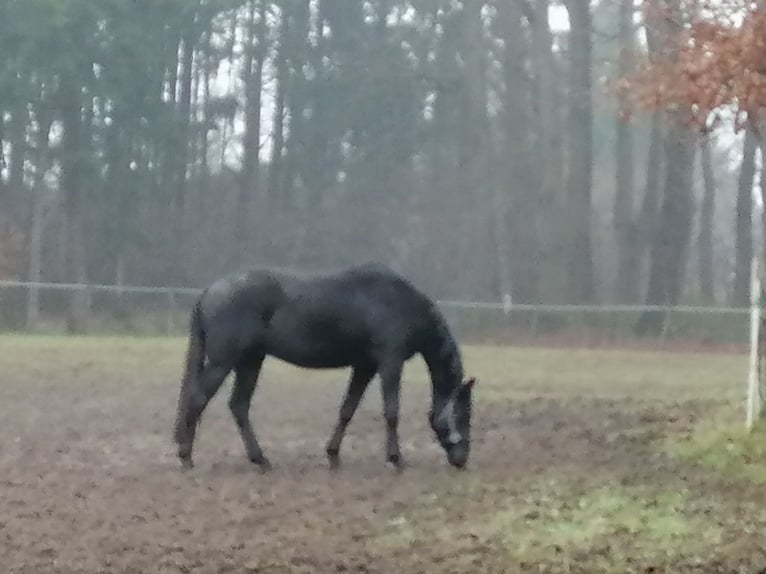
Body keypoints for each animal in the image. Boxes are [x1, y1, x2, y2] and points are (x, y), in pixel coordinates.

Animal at [172, 264, 476, 474]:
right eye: (464, 414)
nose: (462, 459)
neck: (398, 302)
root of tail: (210, 291)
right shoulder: (390, 362)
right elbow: (391, 411)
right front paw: (395, 459)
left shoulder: (365, 366)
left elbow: (347, 410)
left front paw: (333, 455)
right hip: (224, 362)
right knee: (198, 400)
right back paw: (186, 458)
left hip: (250, 361)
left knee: (238, 406)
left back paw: (261, 460)